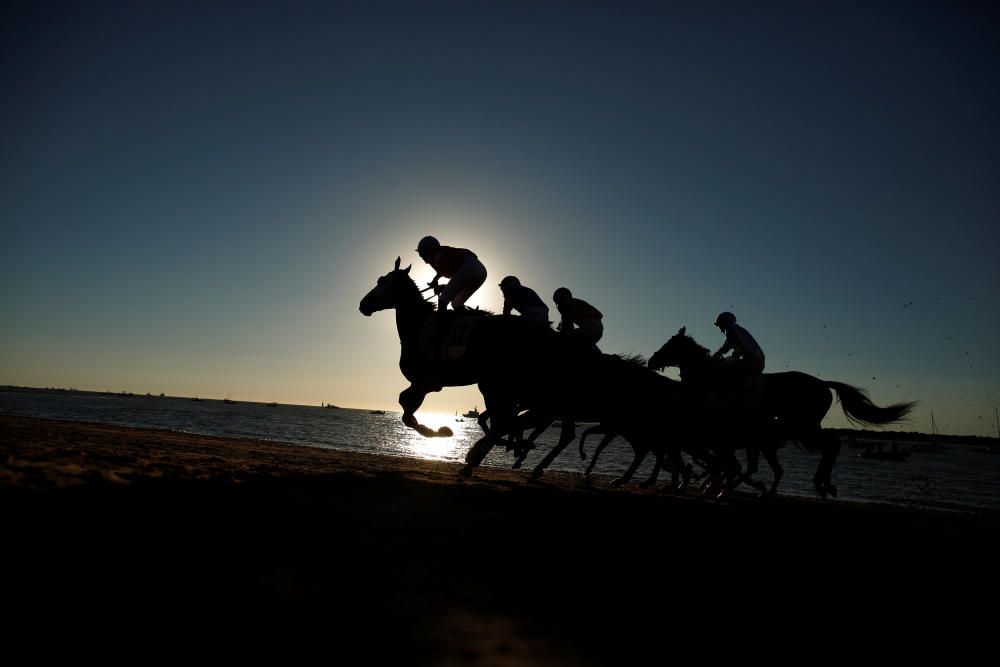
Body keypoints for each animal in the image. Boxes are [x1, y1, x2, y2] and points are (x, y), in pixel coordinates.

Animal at [648, 326, 916, 498]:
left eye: (669, 344)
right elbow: (719, 461)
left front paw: (717, 485)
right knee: (831, 445)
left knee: (832, 444)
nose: (652, 360)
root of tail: (823, 384)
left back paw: (821, 484)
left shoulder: (719, 433)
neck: (707, 380)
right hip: (806, 426)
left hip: (804, 426)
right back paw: (824, 485)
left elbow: (720, 461)